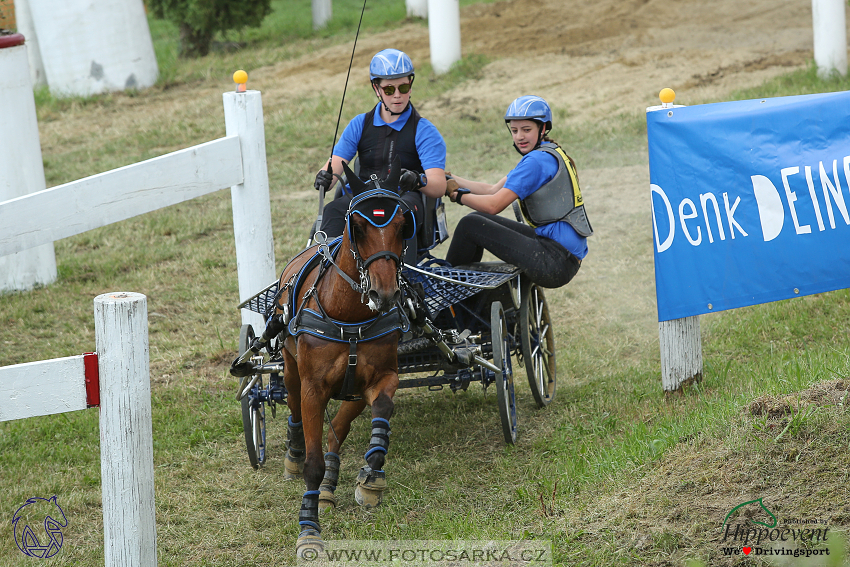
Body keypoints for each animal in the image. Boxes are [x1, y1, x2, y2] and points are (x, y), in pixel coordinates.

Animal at [266, 158, 412, 556]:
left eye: (402, 225)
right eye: (358, 227)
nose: (384, 293)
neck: (350, 317)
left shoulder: (381, 378)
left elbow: (383, 413)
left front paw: (370, 479)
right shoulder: (314, 388)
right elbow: (313, 462)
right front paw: (308, 528)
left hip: (352, 390)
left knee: (338, 432)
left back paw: (331, 489)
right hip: (291, 369)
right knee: (294, 408)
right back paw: (295, 453)